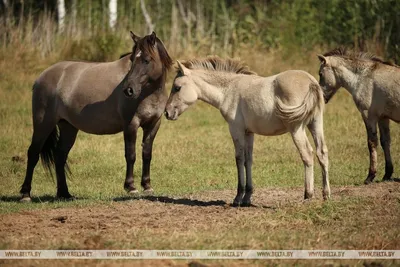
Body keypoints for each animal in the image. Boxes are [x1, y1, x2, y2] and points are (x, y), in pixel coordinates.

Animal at [19, 31, 172, 202]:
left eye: (146, 60)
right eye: (132, 59)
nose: (128, 90)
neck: (147, 93)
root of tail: (41, 77)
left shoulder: (153, 124)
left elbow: (147, 154)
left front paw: (147, 186)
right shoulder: (130, 125)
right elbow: (131, 155)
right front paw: (131, 187)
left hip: (68, 127)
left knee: (60, 156)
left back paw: (64, 193)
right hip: (43, 123)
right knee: (33, 153)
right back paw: (25, 194)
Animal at [164, 57, 330, 207]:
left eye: (177, 87)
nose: (167, 113)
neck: (228, 90)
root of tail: (311, 82)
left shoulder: (236, 129)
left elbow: (239, 159)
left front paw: (238, 197)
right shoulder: (249, 133)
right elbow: (248, 160)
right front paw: (247, 197)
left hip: (296, 129)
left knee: (307, 154)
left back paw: (308, 195)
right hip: (316, 124)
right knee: (321, 153)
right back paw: (326, 195)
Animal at [318, 48, 398, 185]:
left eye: (321, 74)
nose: (321, 97)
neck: (362, 77)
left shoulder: (368, 115)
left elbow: (372, 143)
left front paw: (370, 176)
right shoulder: (383, 118)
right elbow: (385, 142)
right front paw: (387, 174)